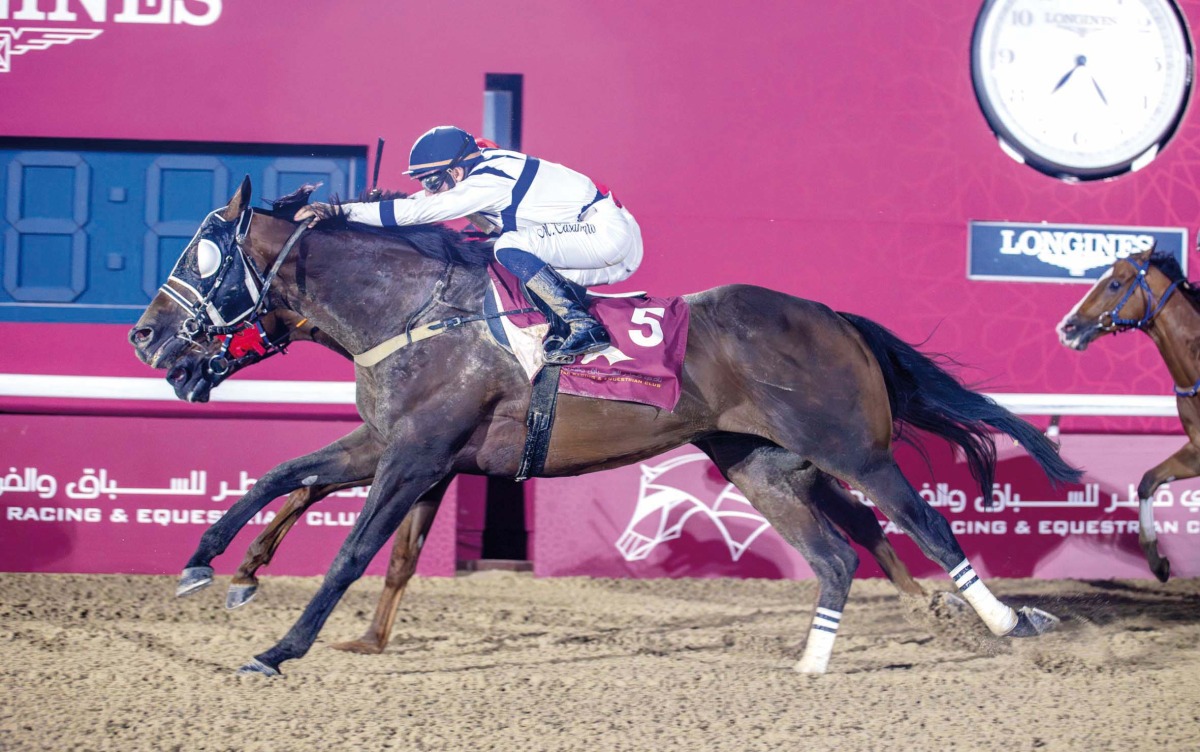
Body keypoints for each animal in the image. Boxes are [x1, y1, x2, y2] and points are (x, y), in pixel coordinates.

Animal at [129, 177, 1080, 676]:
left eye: (201, 255)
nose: (144, 335)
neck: (413, 310)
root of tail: (832, 317)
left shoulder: (417, 453)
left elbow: (355, 550)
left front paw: (279, 647)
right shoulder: (389, 443)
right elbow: (279, 476)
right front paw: (207, 566)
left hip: (852, 447)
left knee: (927, 525)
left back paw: (1007, 625)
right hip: (759, 464)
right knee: (839, 554)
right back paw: (812, 665)